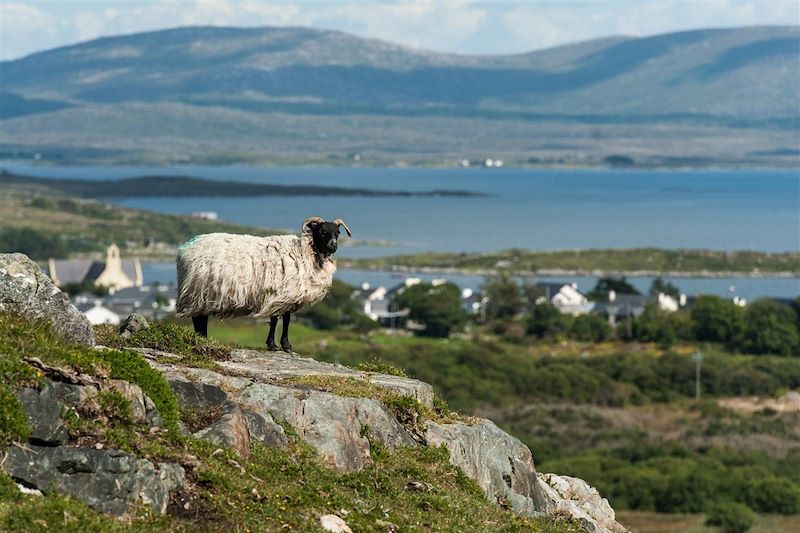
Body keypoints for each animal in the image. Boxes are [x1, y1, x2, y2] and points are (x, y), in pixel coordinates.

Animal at [178, 214, 354, 352]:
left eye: (338, 233)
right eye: (322, 232)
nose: (333, 246)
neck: (306, 252)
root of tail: (184, 250)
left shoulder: (285, 295)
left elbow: (284, 320)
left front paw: (281, 345)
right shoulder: (279, 295)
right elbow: (278, 320)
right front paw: (278, 345)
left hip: (202, 293)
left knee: (200, 318)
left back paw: (202, 339)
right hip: (197, 290)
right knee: (198, 318)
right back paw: (202, 340)